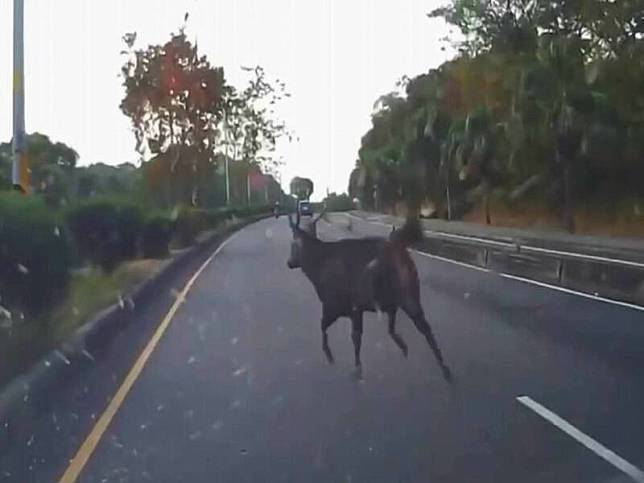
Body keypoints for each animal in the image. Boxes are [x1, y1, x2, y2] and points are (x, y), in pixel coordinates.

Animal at [286, 211, 452, 382]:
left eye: (293, 244)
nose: (290, 262)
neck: (316, 269)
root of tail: (398, 249)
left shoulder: (337, 304)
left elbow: (336, 330)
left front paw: (338, 359)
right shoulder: (355, 308)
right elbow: (354, 333)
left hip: (400, 295)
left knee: (420, 327)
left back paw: (442, 368)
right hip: (408, 292)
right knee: (417, 326)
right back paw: (439, 366)